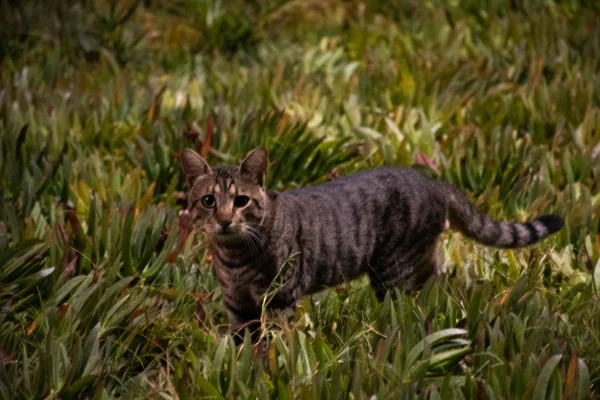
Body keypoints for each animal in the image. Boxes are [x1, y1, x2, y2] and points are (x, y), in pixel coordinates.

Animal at [180, 148, 564, 342]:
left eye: (241, 201)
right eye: (209, 201)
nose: (225, 219)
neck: (234, 256)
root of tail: (433, 182)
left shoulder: (278, 302)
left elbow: (272, 344)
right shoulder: (238, 307)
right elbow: (242, 346)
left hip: (391, 273)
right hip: (418, 264)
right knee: (438, 285)